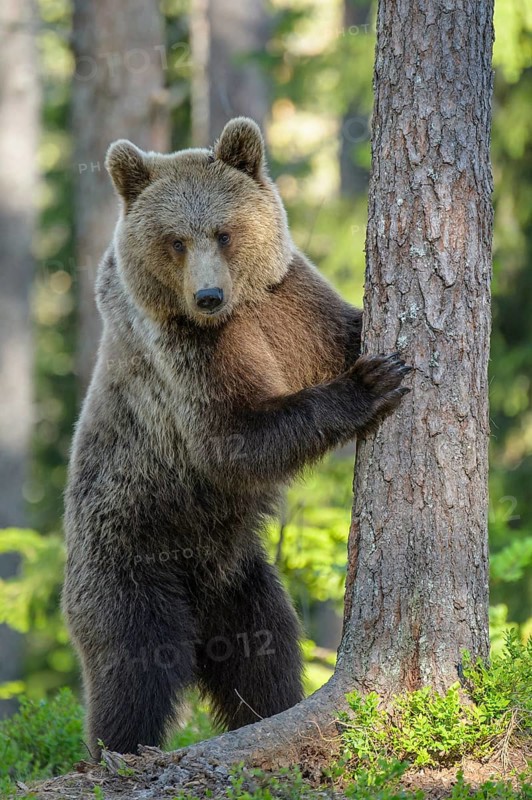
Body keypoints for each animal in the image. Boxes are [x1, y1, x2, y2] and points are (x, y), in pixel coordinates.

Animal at [62, 117, 411, 757]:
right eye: (175, 240)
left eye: (223, 233)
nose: (208, 296)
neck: (237, 311)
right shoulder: (184, 355)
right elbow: (234, 436)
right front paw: (372, 381)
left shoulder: (290, 304)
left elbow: (342, 329)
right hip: (128, 552)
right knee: (134, 665)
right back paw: (118, 752)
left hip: (241, 581)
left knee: (265, 653)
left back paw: (271, 713)